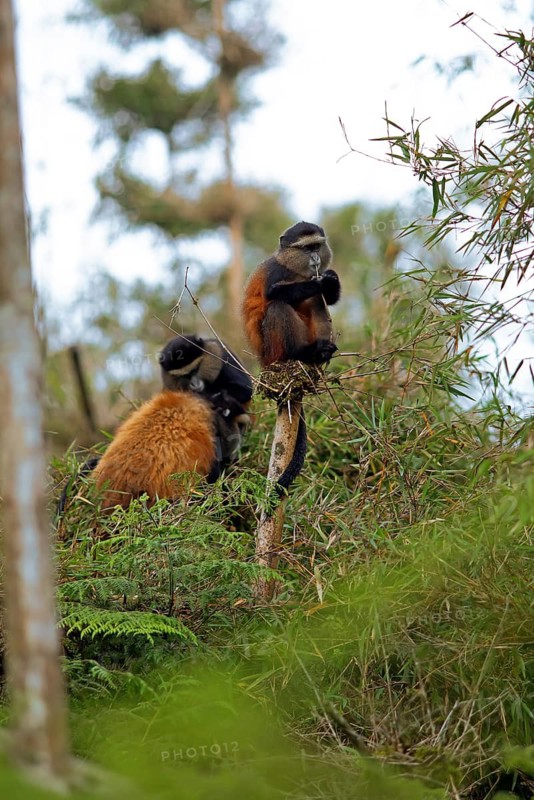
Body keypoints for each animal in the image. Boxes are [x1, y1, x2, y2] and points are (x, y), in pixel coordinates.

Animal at [242, 221, 341, 367]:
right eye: (306, 248)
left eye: (316, 247)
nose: (315, 258)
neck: (294, 269)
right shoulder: (276, 271)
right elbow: (272, 293)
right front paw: (322, 283)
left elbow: (328, 300)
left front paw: (331, 277)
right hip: (273, 352)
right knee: (278, 307)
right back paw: (302, 352)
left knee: (317, 301)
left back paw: (322, 353)